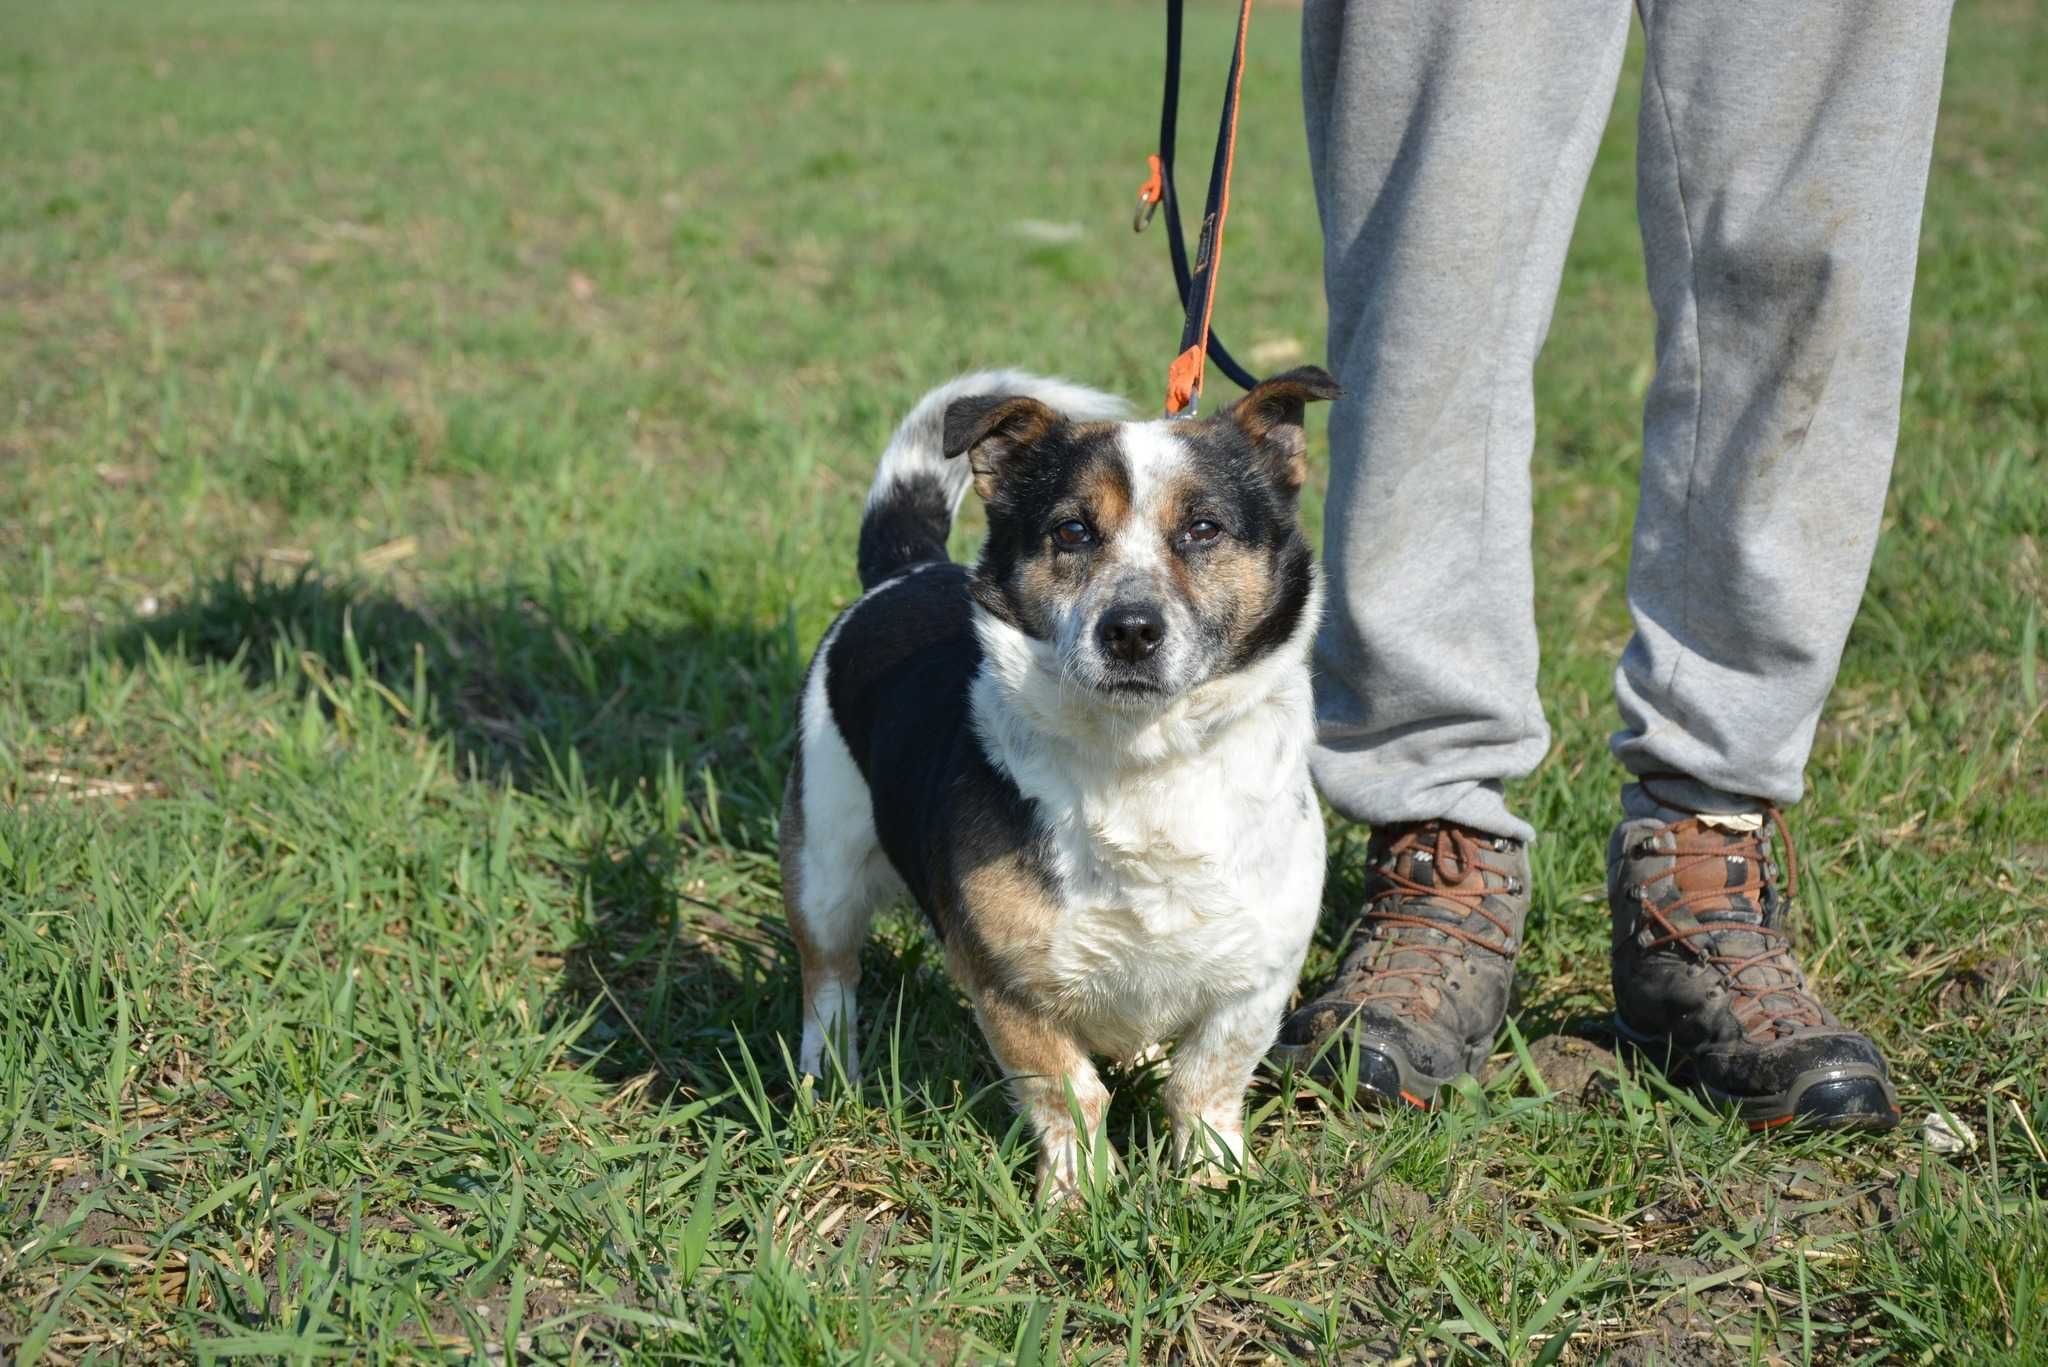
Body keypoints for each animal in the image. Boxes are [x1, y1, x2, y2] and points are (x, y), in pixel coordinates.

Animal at [782, 362, 1343, 1196]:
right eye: (1072, 531)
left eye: (1204, 529)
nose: (1131, 630)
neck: (1142, 757)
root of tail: (909, 568)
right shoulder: (1007, 981)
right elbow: (1070, 1091)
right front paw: (1080, 1195)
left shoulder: (1259, 976)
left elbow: (1205, 1080)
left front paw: (1213, 1184)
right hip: (824, 864)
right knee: (830, 982)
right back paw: (829, 1081)